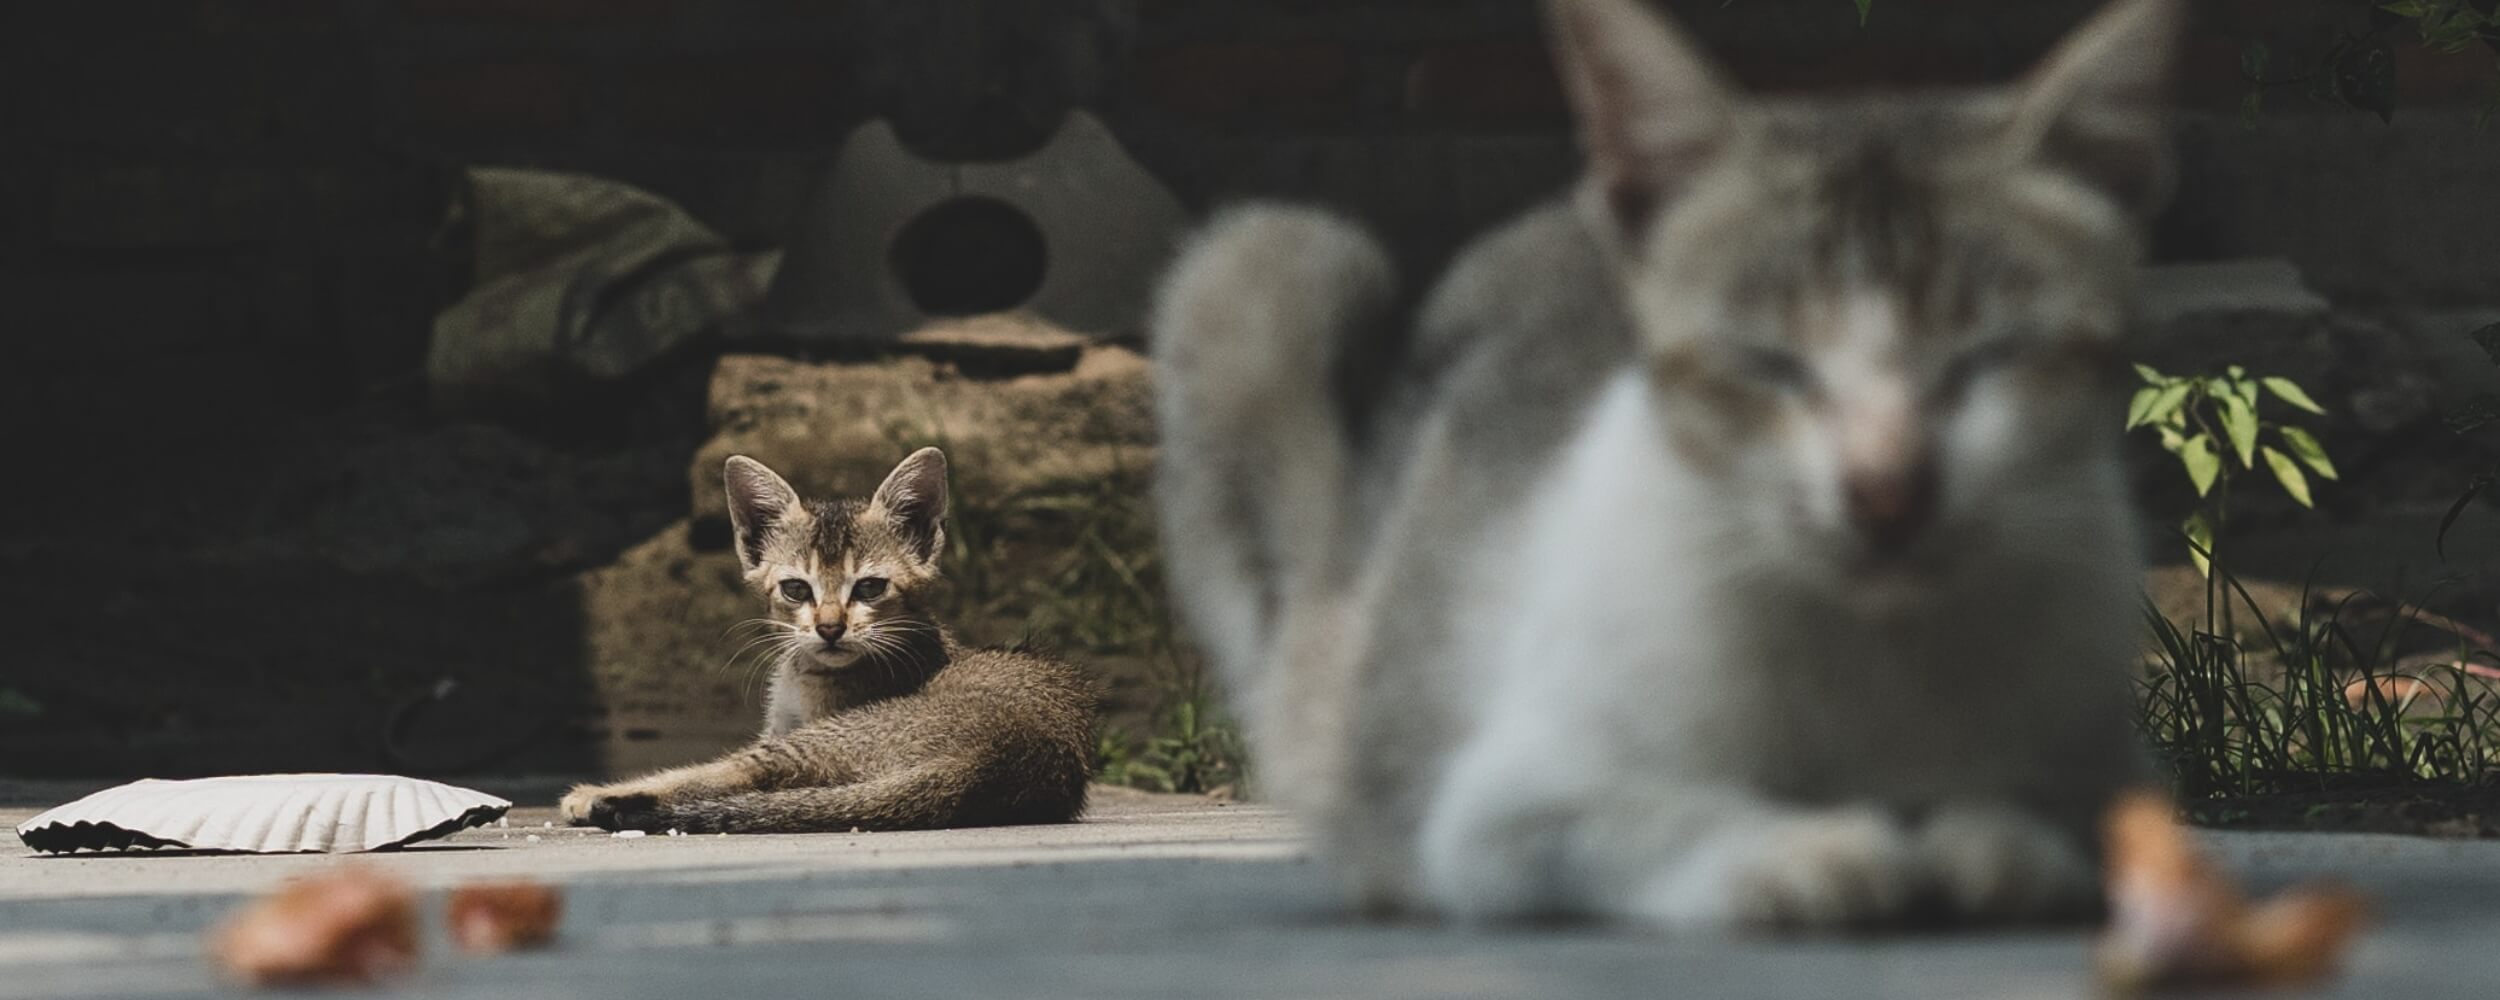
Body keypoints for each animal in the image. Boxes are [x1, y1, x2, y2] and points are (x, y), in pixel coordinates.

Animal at [567, 450, 1095, 830]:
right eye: (797, 589)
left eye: (870, 588)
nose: (829, 627)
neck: (805, 675)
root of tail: (995, 762)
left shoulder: (791, 736)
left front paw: (595, 794)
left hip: (829, 738)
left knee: (736, 774)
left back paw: (603, 799)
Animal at [1145, 0, 2170, 930]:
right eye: (1769, 363)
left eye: (1990, 358)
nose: (1885, 492)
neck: (1877, 656)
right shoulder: (1505, 807)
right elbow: (1658, 816)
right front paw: (1808, 850)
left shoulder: (2113, 761)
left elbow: (2057, 824)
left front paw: (1982, 839)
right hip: (1261, 267)